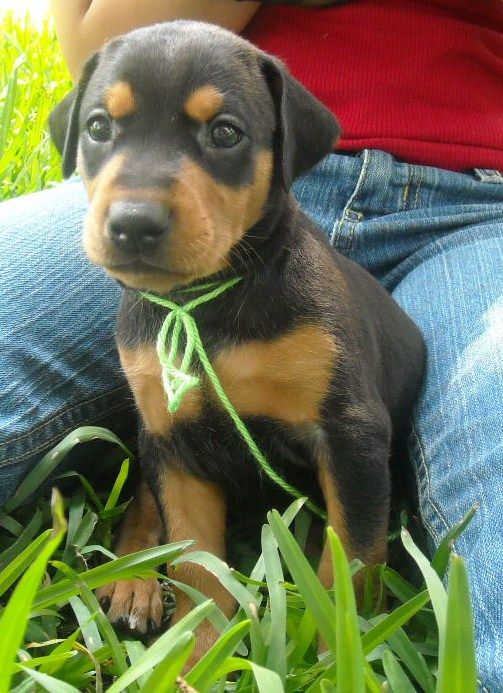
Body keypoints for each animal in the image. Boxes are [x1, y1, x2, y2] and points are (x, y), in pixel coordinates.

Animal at [51, 20, 426, 660]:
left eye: (225, 133)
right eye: (98, 127)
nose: (133, 223)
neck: (205, 302)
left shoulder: (351, 433)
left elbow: (350, 560)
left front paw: (335, 653)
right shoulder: (175, 441)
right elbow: (196, 564)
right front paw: (196, 654)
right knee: (145, 500)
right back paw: (131, 580)